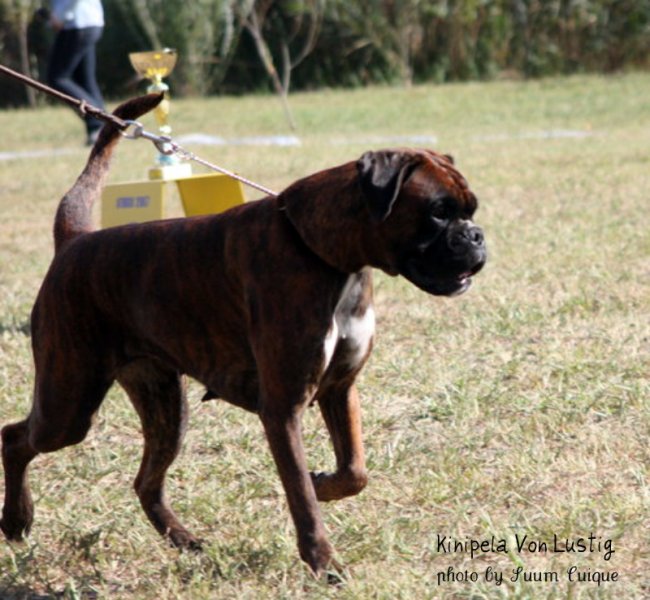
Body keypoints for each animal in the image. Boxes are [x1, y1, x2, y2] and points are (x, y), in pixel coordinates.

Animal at [1, 94, 486, 576]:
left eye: (471, 210)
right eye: (438, 212)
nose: (477, 236)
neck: (325, 254)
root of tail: (74, 242)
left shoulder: (340, 388)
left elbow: (354, 471)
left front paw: (324, 483)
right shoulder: (283, 408)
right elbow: (300, 496)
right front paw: (323, 561)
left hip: (163, 406)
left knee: (145, 482)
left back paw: (182, 538)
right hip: (68, 405)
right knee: (16, 437)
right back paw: (16, 519)